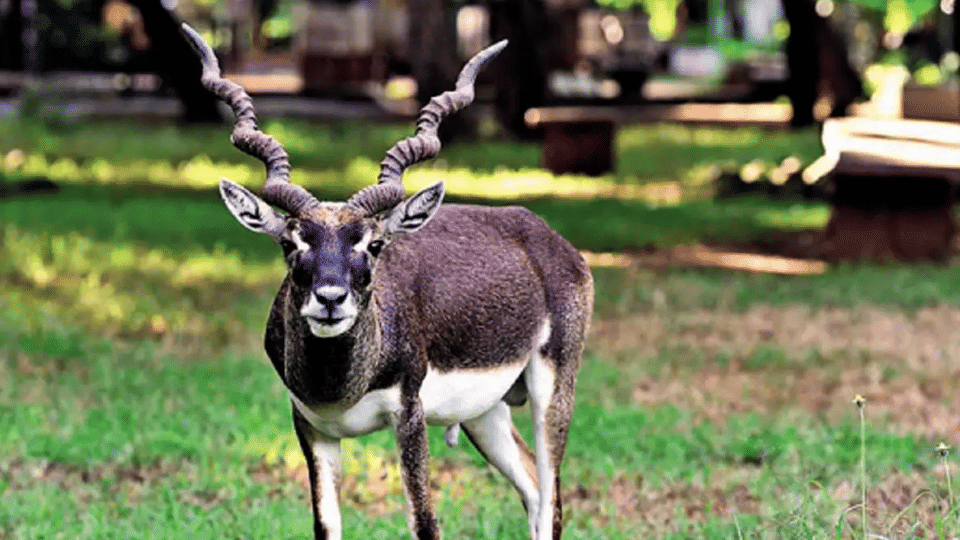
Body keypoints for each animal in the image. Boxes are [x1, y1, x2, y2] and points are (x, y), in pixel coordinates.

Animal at [181, 24, 593, 540]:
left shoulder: (409, 416)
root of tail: (549, 238)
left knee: (551, 501)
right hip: (486, 412)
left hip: (553, 388)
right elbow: (325, 524)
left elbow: (424, 522)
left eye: (374, 244)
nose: (330, 299)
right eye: (291, 243)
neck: (341, 384)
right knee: (534, 490)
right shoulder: (311, 426)